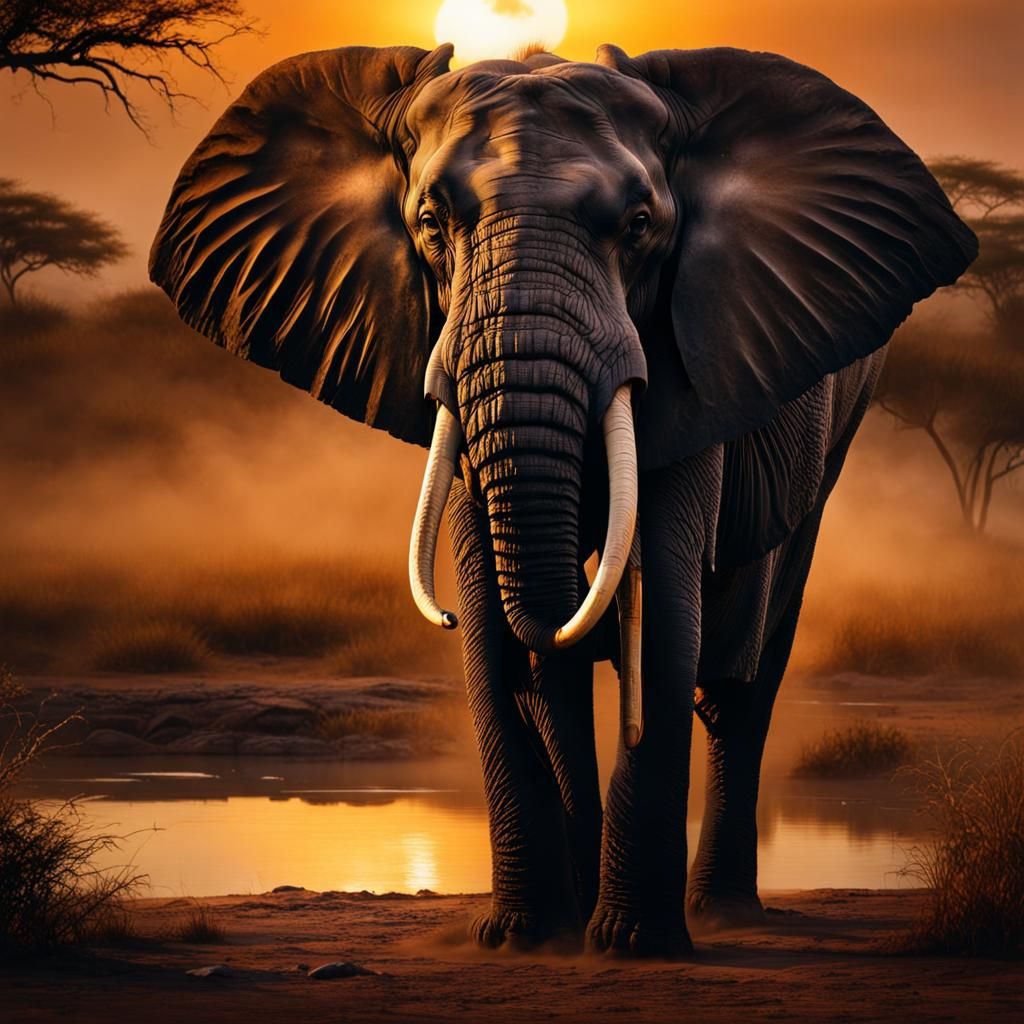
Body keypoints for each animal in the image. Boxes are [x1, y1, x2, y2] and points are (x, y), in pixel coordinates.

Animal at [149, 42, 976, 956]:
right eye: (431, 222)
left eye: (641, 225)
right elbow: (493, 627)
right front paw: (524, 936)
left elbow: (665, 603)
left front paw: (631, 944)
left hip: (843, 424)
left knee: (744, 665)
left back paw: (720, 912)